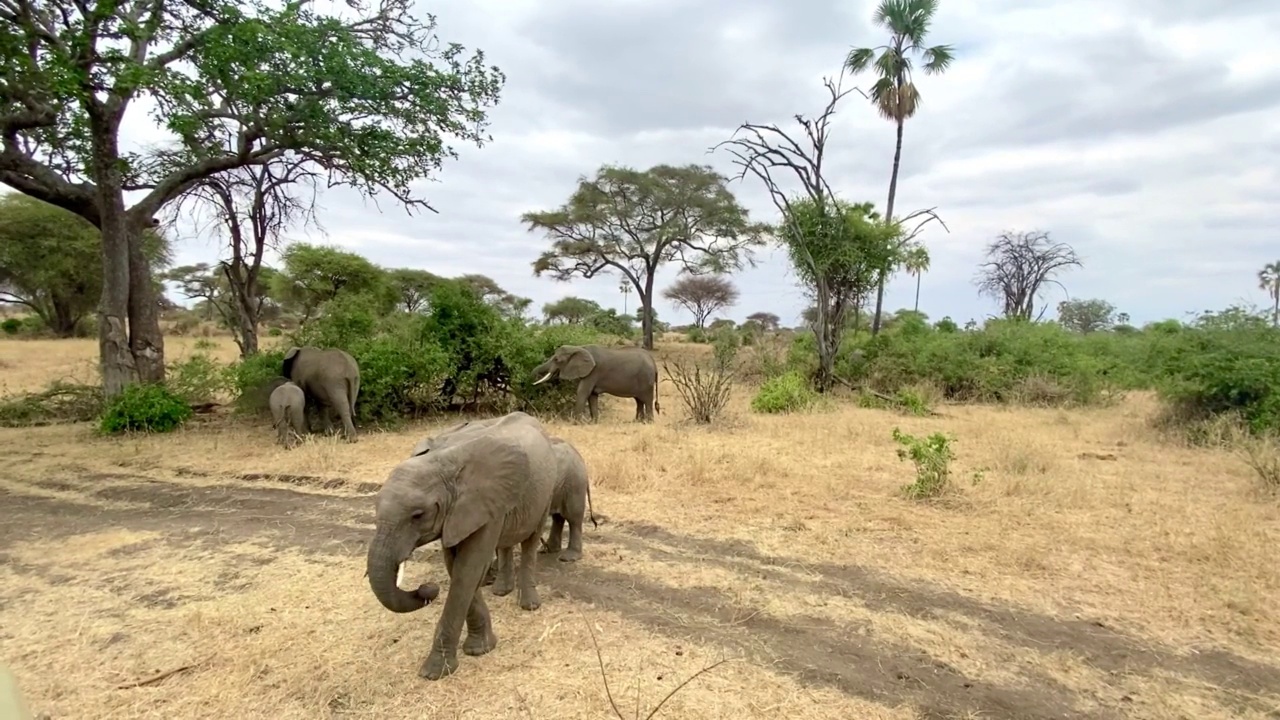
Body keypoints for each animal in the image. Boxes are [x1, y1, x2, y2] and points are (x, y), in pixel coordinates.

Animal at [363, 409, 558, 676]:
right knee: (506, 543)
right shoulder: (458, 514)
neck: (442, 462)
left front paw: (435, 672)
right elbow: (457, 568)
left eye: (418, 515)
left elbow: (468, 570)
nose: (427, 588)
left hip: (545, 491)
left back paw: (528, 605)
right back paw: (501, 592)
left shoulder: (481, 503)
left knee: (530, 541)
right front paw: (482, 649)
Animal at [529, 340, 660, 420]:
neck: (579, 348)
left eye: (556, 360)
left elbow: (583, 392)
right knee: (639, 400)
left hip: (646, 380)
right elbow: (592, 395)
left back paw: (648, 422)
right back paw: (638, 422)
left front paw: (575, 422)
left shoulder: (593, 372)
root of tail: (653, 362)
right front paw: (594, 422)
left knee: (647, 400)